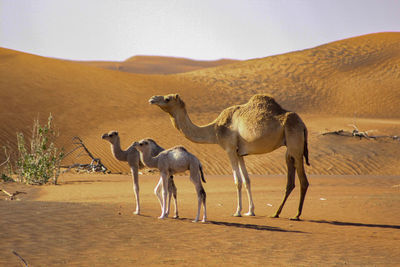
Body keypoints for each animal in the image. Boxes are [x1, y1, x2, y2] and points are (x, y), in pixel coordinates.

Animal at [149, 93, 310, 221]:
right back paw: (277, 213)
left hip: (295, 144)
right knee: (291, 180)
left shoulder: (230, 149)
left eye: (167, 98)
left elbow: (237, 180)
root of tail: (303, 125)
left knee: (303, 180)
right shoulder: (240, 153)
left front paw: (237, 212)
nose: (152, 99)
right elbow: (247, 180)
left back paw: (296, 215)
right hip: (289, 148)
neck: (215, 129)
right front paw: (250, 211)